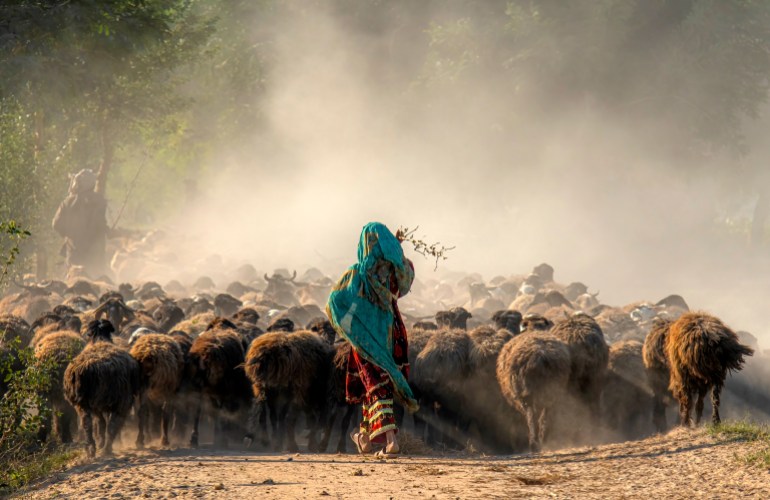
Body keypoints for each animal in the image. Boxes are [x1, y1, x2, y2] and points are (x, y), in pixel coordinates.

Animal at [62, 320, 141, 458]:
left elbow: (100, 423)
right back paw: (106, 449)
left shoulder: (96, 406)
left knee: (87, 423)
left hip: (83, 403)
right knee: (113, 425)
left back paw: (91, 449)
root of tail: (88, 369)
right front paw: (102, 442)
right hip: (120, 400)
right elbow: (103, 423)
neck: (100, 339)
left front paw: (99, 442)